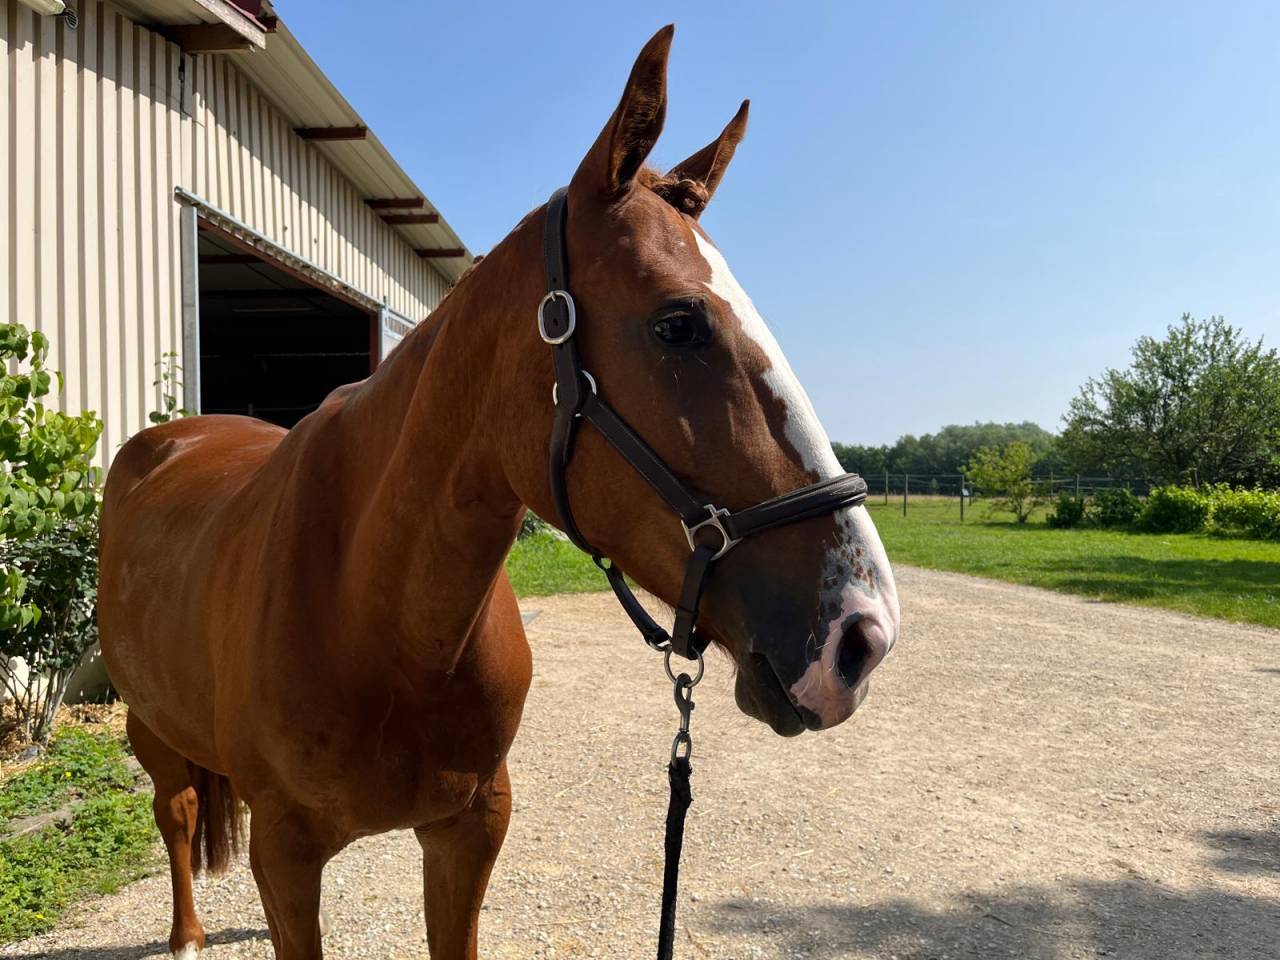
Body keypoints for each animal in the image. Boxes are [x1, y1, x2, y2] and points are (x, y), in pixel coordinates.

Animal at [98, 25, 900, 960]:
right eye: (677, 323)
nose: (863, 636)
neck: (374, 613)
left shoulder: (471, 828)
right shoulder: (287, 856)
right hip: (152, 729)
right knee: (179, 808)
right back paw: (188, 933)